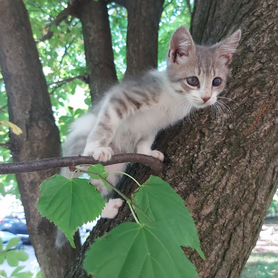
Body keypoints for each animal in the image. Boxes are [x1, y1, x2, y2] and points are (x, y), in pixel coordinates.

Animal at [61, 26, 241, 223]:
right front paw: (95, 148)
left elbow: (146, 138)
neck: (176, 99)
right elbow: (107, 124)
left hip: (113, 169)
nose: (207, 98)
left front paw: (146, 152)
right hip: (80, 140)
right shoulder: (124, 97)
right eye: (193, 80)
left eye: (217, 81)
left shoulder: (156, 124)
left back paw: (106, 209)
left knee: (95, 188)